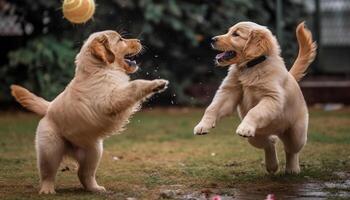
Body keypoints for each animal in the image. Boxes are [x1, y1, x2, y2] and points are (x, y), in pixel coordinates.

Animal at [10, 30, 169, 195]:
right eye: (120, 39)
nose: (139, 40)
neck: (100, 69)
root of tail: (49, 107)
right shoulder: (110, 100)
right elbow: (135, 85)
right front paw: (157, 84)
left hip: (94, 151)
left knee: (84, 173)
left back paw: (95, 188)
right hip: (50, 149)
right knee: (48, 173)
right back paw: (47, 190)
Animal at [194, 21, 318, 174]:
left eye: (236, 34)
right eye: (229, 31)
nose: (212, 39)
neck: (251, 66)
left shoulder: (272, 98)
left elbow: (255, 111)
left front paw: (244, 127)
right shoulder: (229, 92)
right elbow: (212, 108)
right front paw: (202, 125)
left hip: (296, 133)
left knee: (291, 150)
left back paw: (292, 168)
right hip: (255, 137)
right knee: (269, 143)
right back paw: (272, 165)